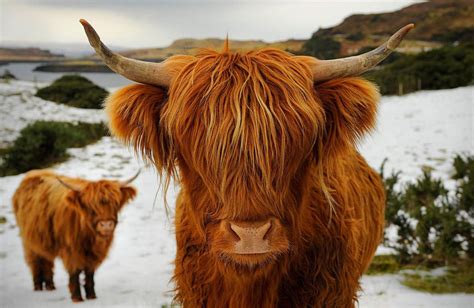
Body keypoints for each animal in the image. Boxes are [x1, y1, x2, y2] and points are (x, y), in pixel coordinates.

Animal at [12, 170, 137, 302]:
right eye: (90, 206)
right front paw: (77, 298)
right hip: (29, 242)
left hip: (44, 241)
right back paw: (38, 287)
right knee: (35, 261)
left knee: (47, 261)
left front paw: (91, 296)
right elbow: (74, 272)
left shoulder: (93, 255)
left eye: (115, 203)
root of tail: (32, 173)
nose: (106, 225)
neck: (89, 237)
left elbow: (89, 273)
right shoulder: (71, 251)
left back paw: (50, 286)